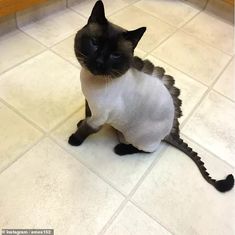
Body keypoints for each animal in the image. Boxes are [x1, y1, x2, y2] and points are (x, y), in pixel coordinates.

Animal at [67, 0, 233, 193]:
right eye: (94, 43)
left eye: (115, 55)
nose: (99, 62)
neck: (92, 80)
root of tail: (170, 131)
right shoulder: (90, 104)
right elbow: (86, 117)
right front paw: (80, 122)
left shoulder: (99, 117)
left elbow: (85, 129)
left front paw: (74, 140)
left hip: (136, 136)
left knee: (149, 150)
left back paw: (121, 149)